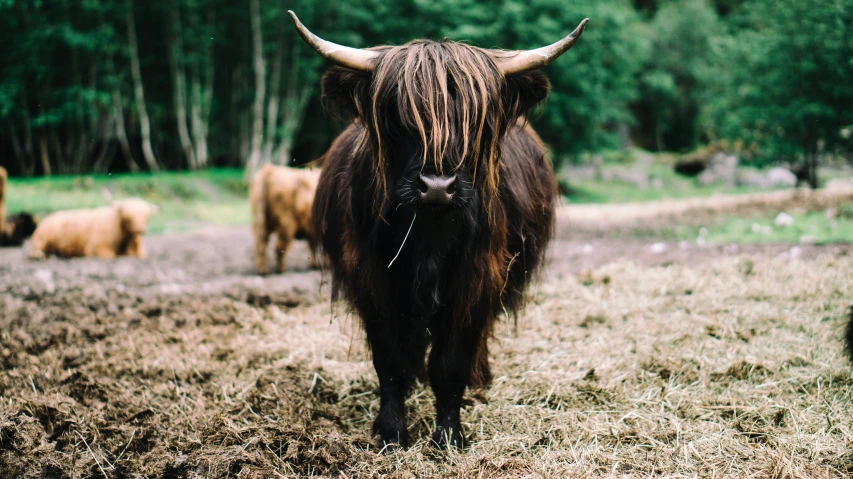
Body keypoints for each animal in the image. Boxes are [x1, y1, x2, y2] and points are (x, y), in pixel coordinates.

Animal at [30, 198, 160, 260]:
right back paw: (39, 256)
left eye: (146, 216)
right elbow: (112, 256)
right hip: (41, 238)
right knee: (36, 249)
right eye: (128, 217)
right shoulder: (97, 248)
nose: (140, 229)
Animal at [290, 10, 588, 450]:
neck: (429, 236)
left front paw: (448, 434)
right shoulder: (372, 278)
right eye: (397, 114)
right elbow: (390, 358)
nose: (436, 186)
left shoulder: (478, 277)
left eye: (475, 118)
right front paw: (391, 431)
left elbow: (452, 360)